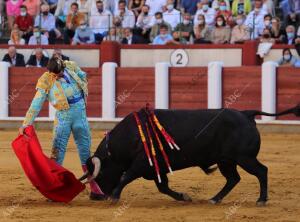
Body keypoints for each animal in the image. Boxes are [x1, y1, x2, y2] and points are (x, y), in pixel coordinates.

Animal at [80, 106, 300, 206]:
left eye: (99, 175)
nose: (94, 196)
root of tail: (245, 114)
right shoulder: (156, 168)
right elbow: (163, 187)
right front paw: (183, 197)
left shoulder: (142, 163)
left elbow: (125, 177)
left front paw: (115, 196)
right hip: (226, 161)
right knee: (233, 179)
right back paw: (214, 199)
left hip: (245, 158)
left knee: (262, 171)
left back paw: (261, 200)